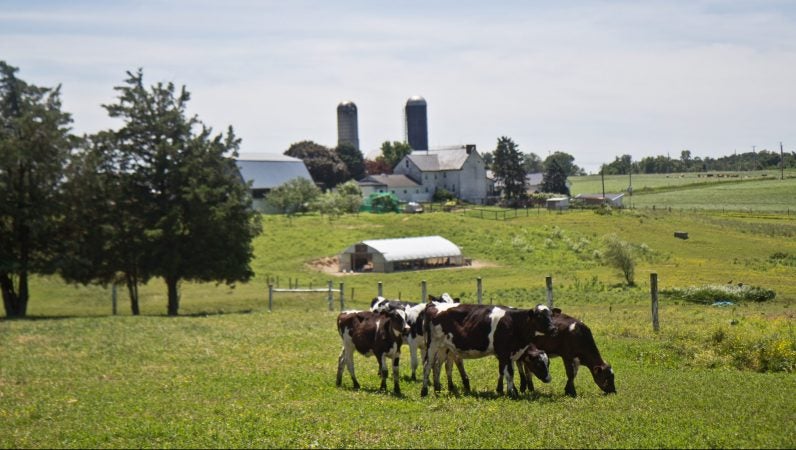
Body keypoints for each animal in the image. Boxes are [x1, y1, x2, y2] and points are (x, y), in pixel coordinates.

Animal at [420, 302, 556, 398]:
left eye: (551, 315)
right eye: (539, 316)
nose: (554, 328)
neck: (514, 322)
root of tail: (433, 305)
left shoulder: (507, 354)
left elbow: (505, 371)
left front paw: (506, 390)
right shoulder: (504, 352)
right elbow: (509, 372)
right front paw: (512, 393)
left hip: (443, 347)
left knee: (437, 366)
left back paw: (437, 390)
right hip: (432, 345)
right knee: (427, 366)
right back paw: (424, 391)